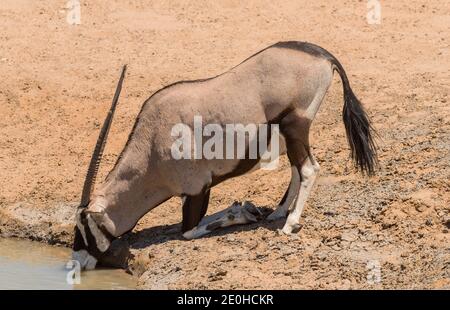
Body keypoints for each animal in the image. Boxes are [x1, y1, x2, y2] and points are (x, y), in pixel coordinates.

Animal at [74, 41, 376, 268]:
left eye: (85, 226)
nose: (77, 262)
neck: (150, 150)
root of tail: (321, 54)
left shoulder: (196, 189)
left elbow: (190, 230)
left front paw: (239, 214)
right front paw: (246, 208)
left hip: (295, 127)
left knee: (309, 169)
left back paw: (290, 223)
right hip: (290, 137)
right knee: (296, 169)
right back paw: (279, 212)